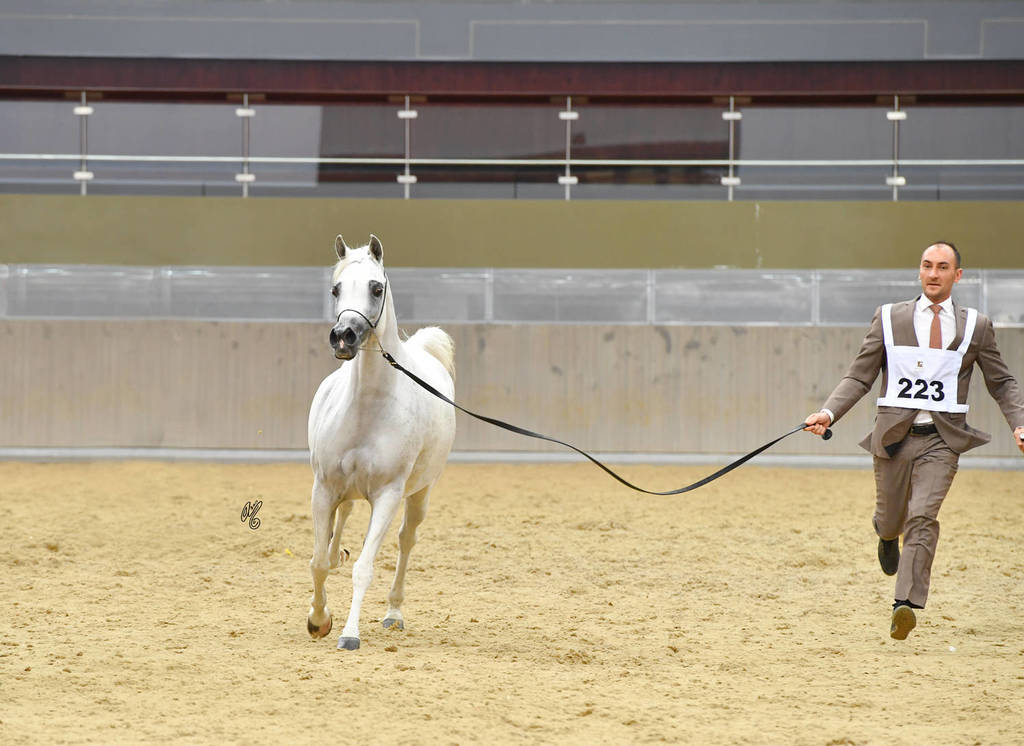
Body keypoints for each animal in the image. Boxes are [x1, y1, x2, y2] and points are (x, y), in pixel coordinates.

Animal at [306, 234, 456, 651]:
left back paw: (393, 613)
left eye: (376, 288)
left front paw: (349, 634)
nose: (343, 337)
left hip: (420, 494)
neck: (368, 409)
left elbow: (364, 568)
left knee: (406, 541)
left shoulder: (388, 495)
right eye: (336, 289)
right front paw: (318, 620)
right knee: (342, 519)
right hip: (344, 490)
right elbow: (318, 562)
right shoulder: (324, 488)